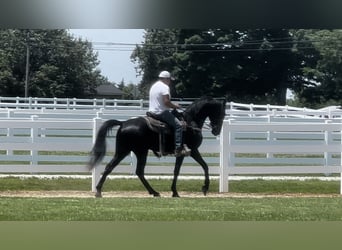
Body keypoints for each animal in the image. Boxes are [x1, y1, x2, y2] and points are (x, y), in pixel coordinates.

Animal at [89, 96, 226, 197]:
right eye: (222, 113)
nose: (217, 131)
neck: (190, 122)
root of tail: (123, 123)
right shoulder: (188, 151)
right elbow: (178, 170)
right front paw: (176, 192)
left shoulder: (193, 151)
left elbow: (205, 166)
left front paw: (204, 188)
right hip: (137, 152)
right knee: (134, 170)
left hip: (126, 151)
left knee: (115, 168)